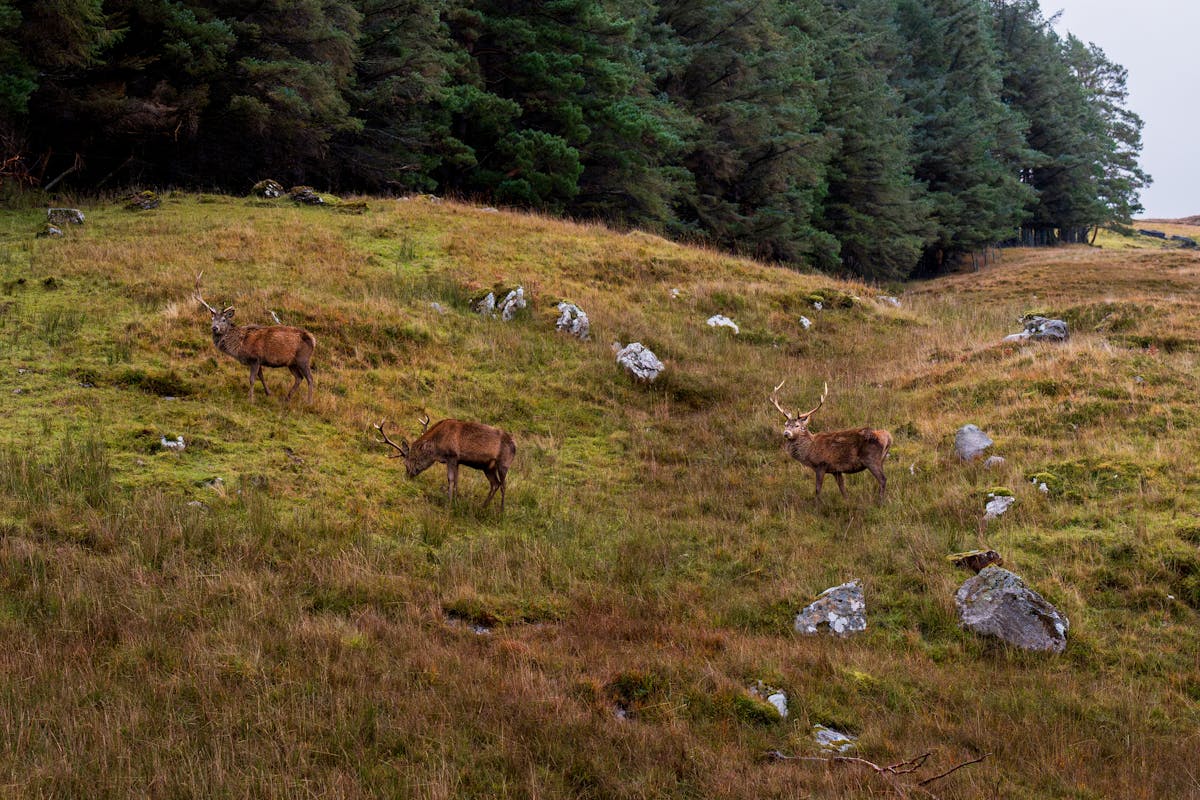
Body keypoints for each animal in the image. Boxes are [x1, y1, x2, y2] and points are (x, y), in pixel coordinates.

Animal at [194, 272, 316, 402]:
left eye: (223, 319)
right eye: (212, 318)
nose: (214, 328)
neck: (239, 345)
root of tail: (313, 340)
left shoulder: (255, 358)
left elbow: (252, 379)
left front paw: (250, 399)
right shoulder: (258, 361)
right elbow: (261, 376)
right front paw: (268, 393)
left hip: (303, 358)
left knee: (310, 378)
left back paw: (309, 401)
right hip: (291, 362)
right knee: (299, 377)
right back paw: (287, 398)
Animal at [374, 415, 516, 511]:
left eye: (407, 462)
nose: (407, 476)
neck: (437, 447)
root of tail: (515, 446)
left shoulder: (452, 455)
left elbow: (451, 479)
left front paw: (449, 502)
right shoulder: (457, 460)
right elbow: (457, 480)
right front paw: (456, 501)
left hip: (504, 463)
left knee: (503, 485)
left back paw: (501, 510)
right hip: (488, 467)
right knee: (495, 484)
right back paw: (482, 506)